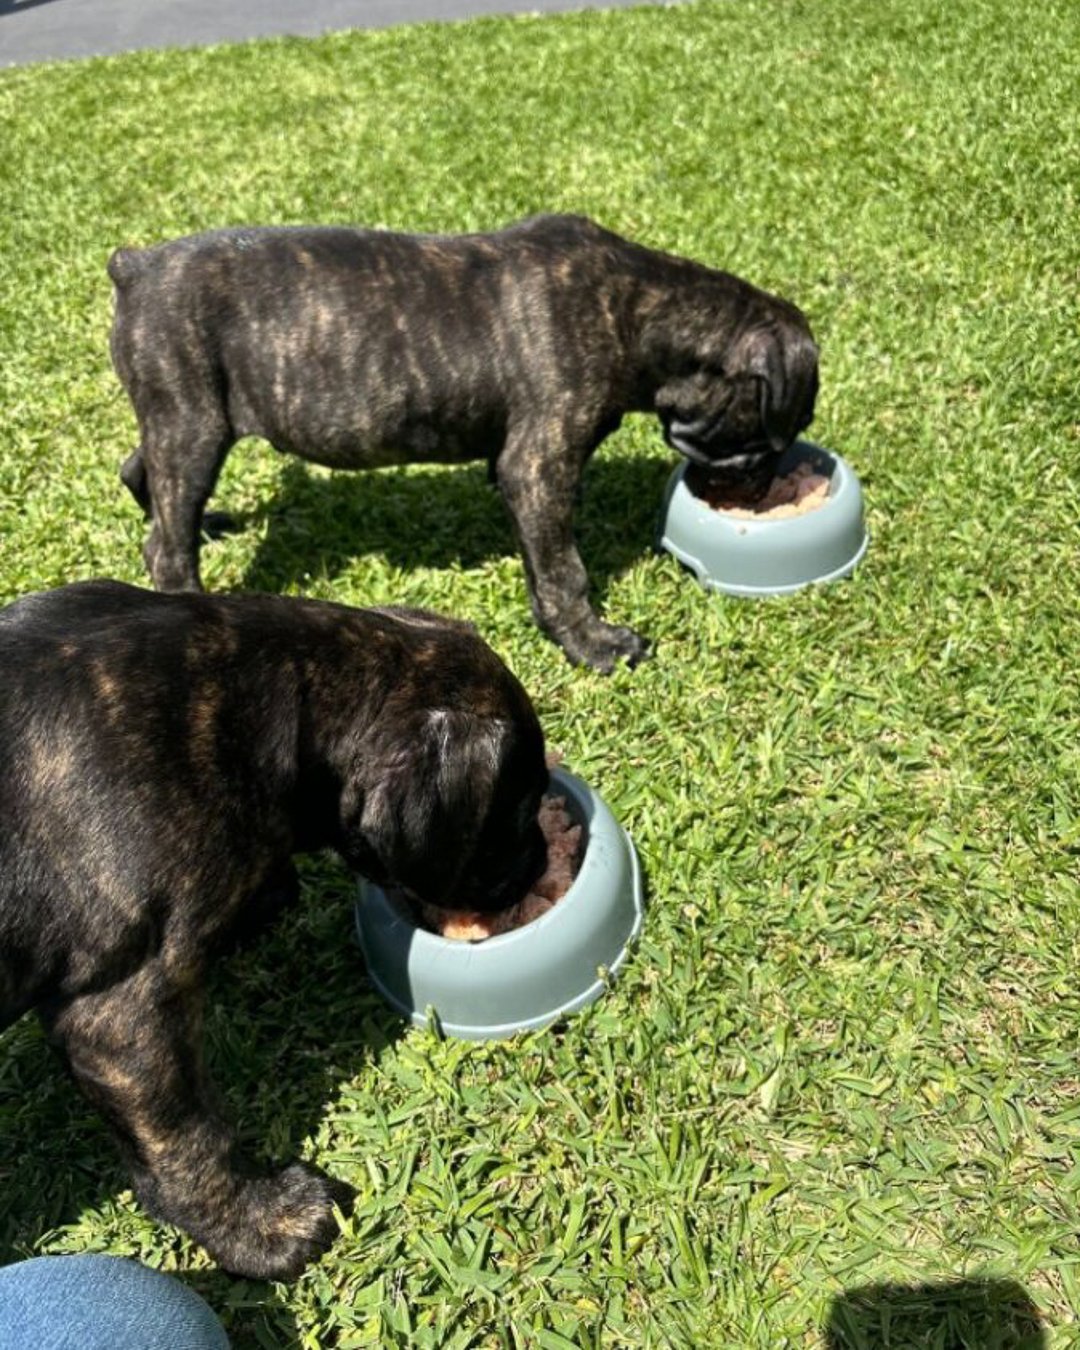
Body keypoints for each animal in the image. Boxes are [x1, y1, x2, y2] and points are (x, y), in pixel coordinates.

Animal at [107, 213, 820, 672]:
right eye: (770, 434)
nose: (767, 482)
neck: (639, 306)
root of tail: (134, 265)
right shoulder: (537, 467)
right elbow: (564, 569)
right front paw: (593, 645)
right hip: (193, 424)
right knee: (164, 544)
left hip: (177, 423)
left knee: (143, 477)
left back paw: (204, 525)